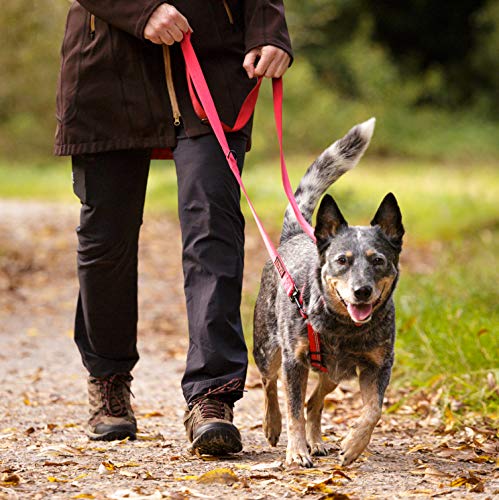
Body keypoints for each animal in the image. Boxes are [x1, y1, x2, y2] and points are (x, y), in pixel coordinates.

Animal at [254, 118, 406, 468]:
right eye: (342, 260)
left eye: (378, 260)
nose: (362, 291)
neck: (344, 327)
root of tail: (295, 235)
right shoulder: (294, 362)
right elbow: (293, 410)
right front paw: (296, 451)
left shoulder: (379, 365)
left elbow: (374, 410)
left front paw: (353, 445)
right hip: (267, 349)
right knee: (270, 384)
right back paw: (272, 424)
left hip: (335, 372)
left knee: (314, 402)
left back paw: (318, 441)